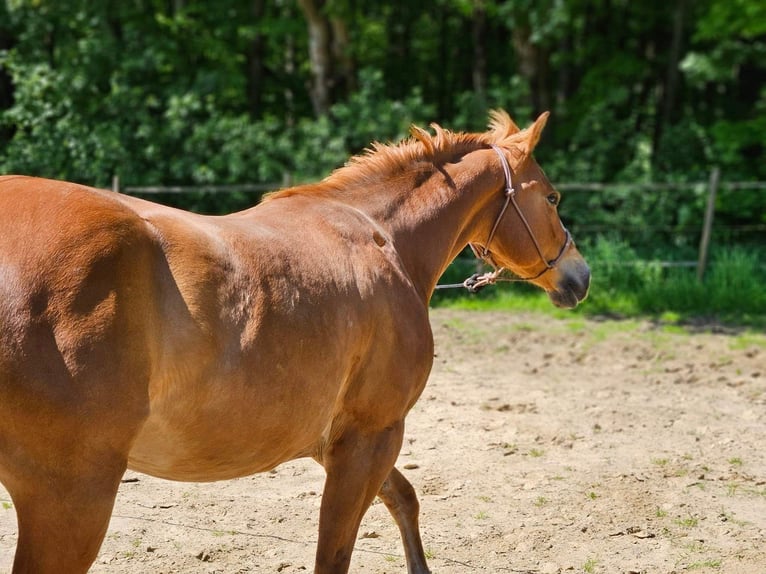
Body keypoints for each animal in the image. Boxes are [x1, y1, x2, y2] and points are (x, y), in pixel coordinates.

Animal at [0, 110, 592, 572]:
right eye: (553, 197)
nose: (579, 277)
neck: (384, 241)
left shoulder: (335, 441)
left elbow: (404, 499)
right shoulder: (372, 435)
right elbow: (338, 549)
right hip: (72, 499)